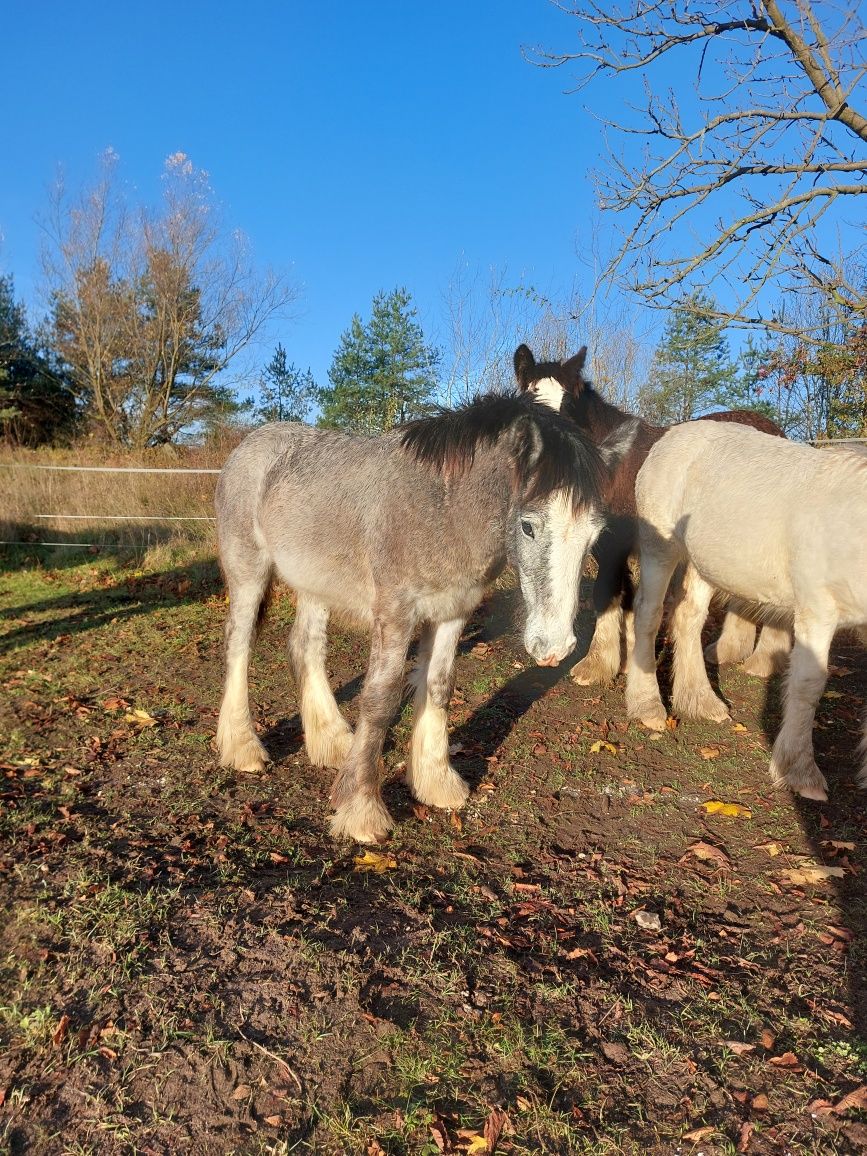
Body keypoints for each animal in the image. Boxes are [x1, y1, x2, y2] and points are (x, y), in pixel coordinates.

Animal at [215, 395, 614, 841]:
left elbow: (439, 686)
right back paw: (243, 748)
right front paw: (361, 809)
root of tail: (248, 446)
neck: (442, 508)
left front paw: (437, 782)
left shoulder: (452, 612)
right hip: (248, 572)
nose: (556, 647)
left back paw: (333, 742)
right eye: (528, 527)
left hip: (315, 585)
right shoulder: (395, 616)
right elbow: (381, 698)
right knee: (239, 644)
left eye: (594, 535)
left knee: (305, 647)